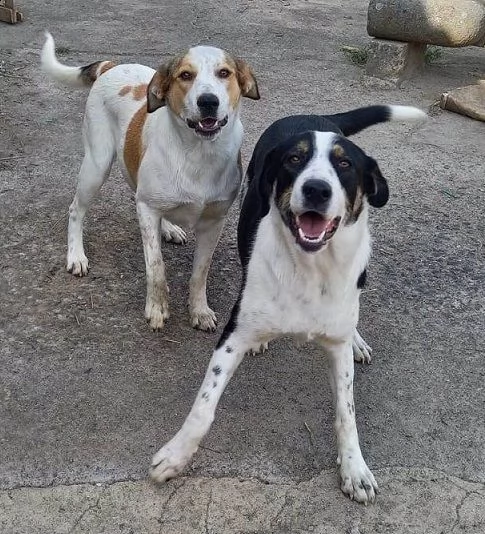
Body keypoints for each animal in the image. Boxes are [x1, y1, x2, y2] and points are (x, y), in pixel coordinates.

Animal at [41, 33, 260, 330]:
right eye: (185, 75)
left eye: (224, 73)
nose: (208, 101)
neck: (198, 154)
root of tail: (112, 65)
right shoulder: (146, 209)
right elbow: (156, 266)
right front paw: (157, 308)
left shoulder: (214, 221)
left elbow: (200, 272)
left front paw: (199, 310)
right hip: (96, 166)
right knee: (76, 210)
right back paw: (76, 256)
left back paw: (168, 227)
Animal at [149, 104, 426, 506]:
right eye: (295, 159)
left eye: (345, 164)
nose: (316, 189)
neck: (310, 267)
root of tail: (321, 116)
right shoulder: (233, 336)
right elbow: (203, 406)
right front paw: (175, 454)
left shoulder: (336, 346)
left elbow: (347, 413)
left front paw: (354, 469)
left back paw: (357, 339)